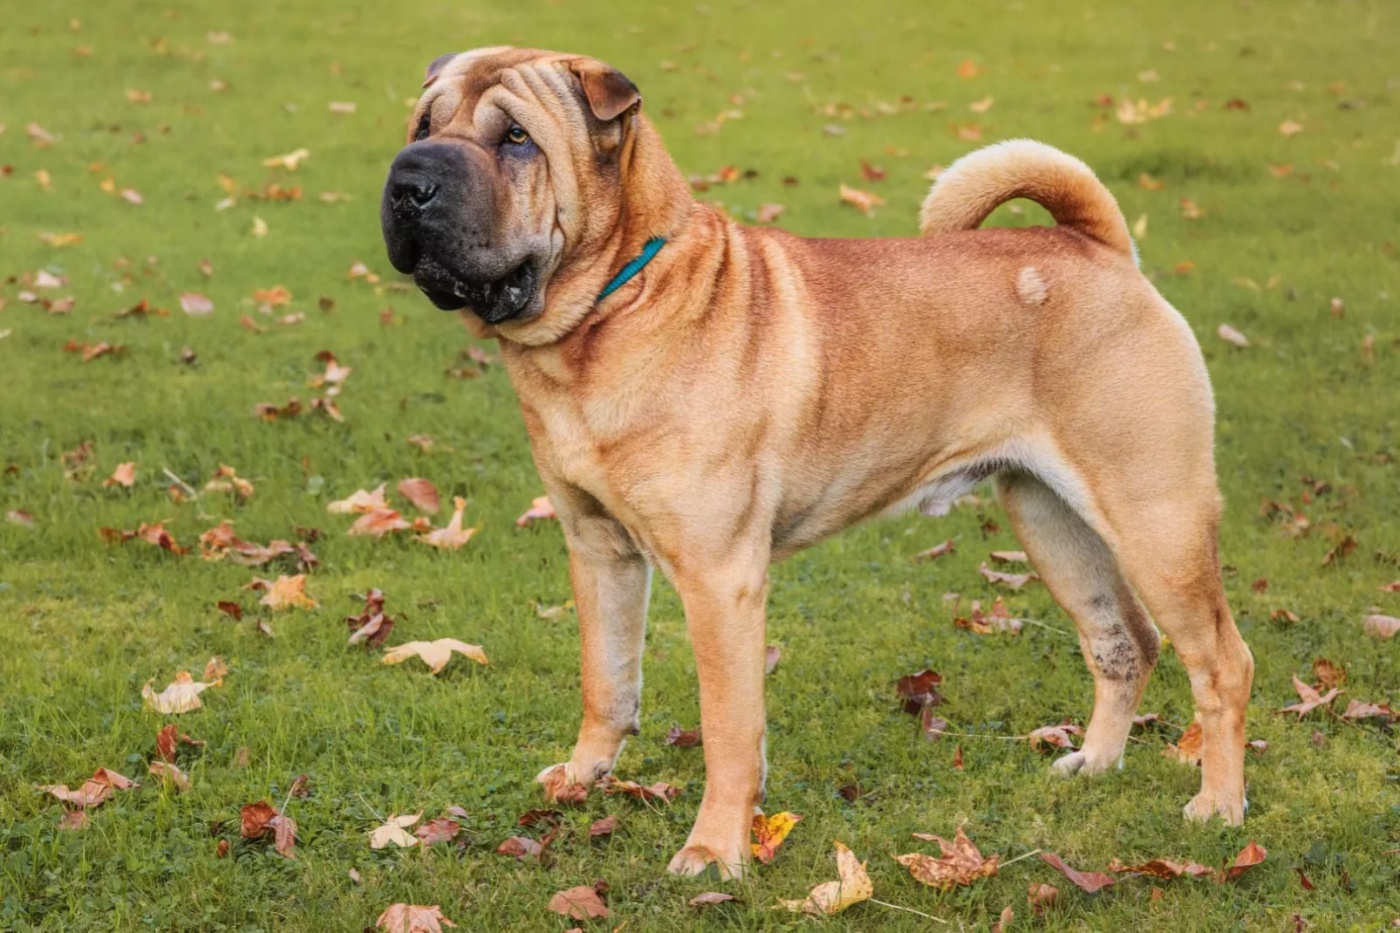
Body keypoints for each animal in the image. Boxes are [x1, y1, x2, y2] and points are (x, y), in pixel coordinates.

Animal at [383, 45, 1260, 874]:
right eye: (424, 124)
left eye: (516, 138)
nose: (408, 181)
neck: (613, 307)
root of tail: (1095, 245)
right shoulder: (599, 550)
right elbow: (607, 680)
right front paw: (584, 776)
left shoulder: (718, 576)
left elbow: (727, 726)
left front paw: (715, 850)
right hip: (1051, 520)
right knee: (1123, 643)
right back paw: (1097, 762)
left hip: (1155, 516)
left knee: (1221, 662)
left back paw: (1218, 804)